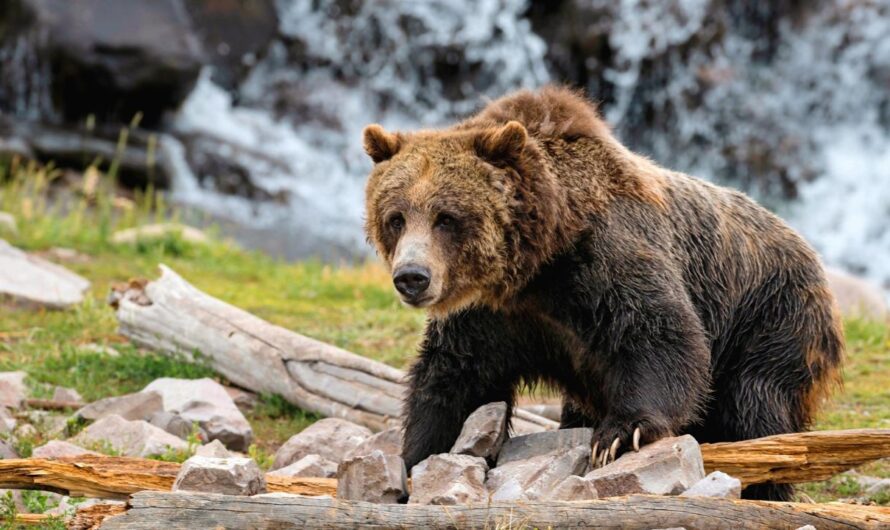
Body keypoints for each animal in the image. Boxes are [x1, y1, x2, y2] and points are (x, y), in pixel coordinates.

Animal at [361, 86, 844, 501]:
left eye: (446, 217)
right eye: (396, 217)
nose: (412, 276)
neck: (538, 265)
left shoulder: (606, 260)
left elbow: (661, 335)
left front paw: (620, 434)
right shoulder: (492, 316)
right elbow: (454, 379)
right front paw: (414, 459)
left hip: (771, 319)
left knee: (756, 408)